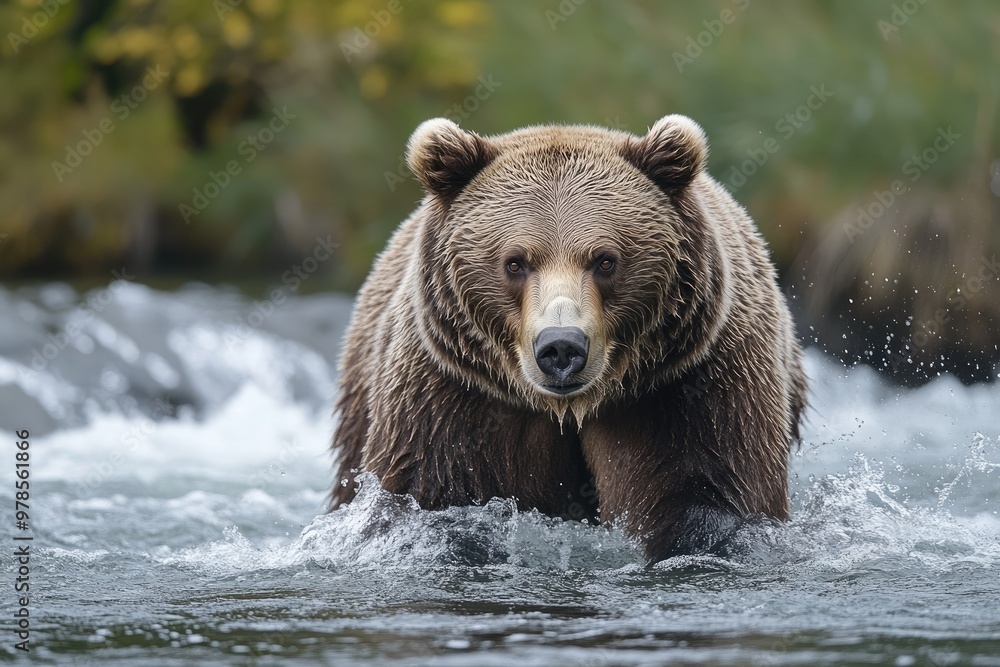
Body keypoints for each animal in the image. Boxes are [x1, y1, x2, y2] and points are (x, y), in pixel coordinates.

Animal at [329, 114, 807, 563]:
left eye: (605, 260)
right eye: (515, 262)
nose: (561, 347)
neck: (570, 407)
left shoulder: (689, 383)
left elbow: (710, 489)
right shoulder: (455, 395)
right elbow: (433, 497)